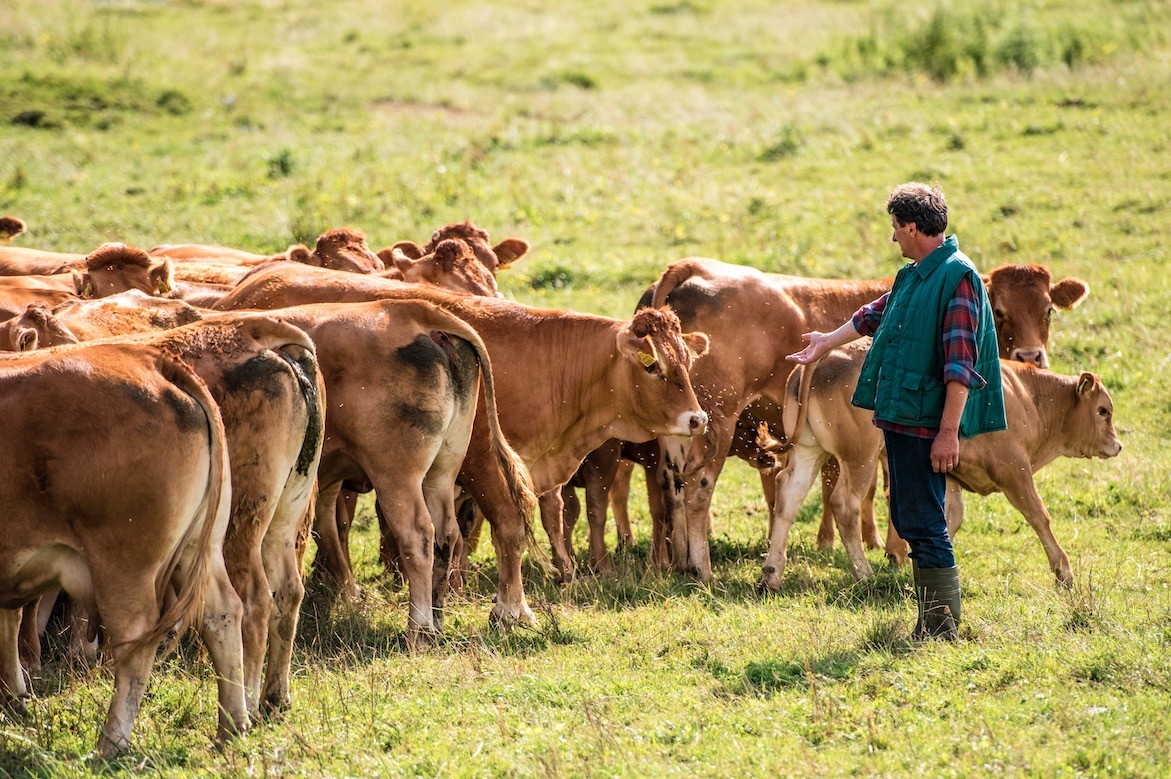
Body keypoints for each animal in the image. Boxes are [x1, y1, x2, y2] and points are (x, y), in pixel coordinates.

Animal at [0, 339, 247, 754]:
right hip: (203, 546)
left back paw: (110, 743)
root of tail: (150, 359)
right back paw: (232, 726)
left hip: (123, 564)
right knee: (222, 614)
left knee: (135, 640)